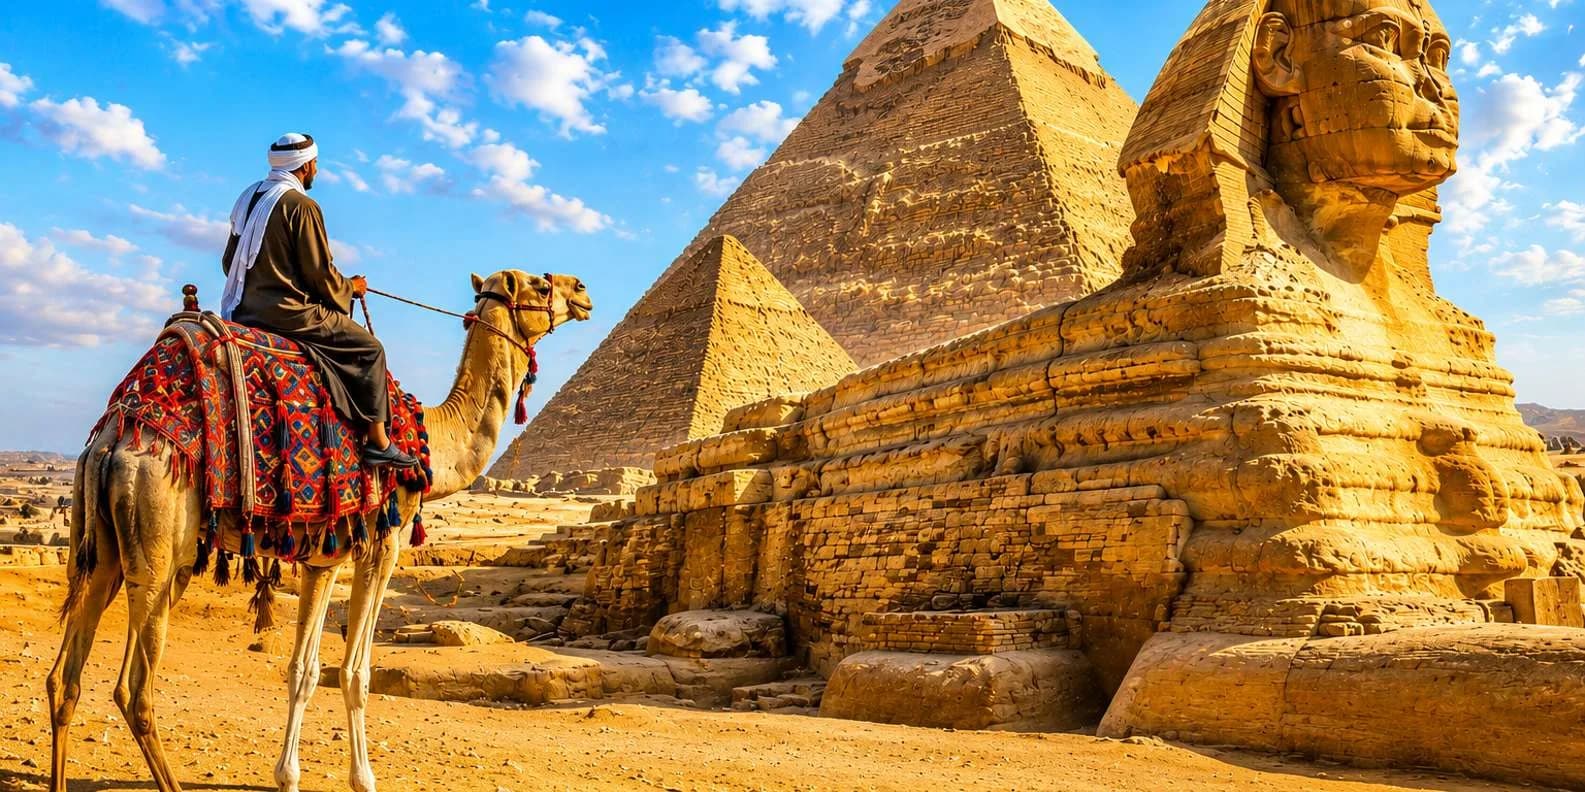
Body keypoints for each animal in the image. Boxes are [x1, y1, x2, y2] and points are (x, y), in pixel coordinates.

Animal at [47, 269, 592, 792]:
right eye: (541, 285)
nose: (583, 291)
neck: (429, 444)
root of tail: (115, 437)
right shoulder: (382, 547)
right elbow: (355, 674)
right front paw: (364, 779)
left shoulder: (322, 560)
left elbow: (302, 671)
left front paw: (287, 776)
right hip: (158, 540)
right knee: (135, 690)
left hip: (107, 552)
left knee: (65, 680)